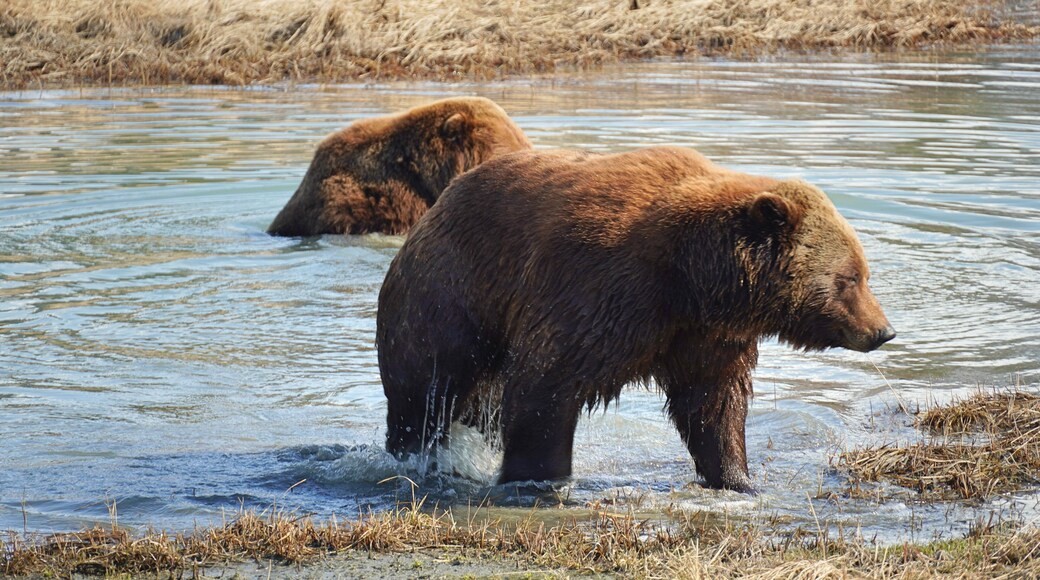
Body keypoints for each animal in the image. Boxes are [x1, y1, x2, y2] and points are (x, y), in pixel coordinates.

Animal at [376, 146, 895, 492]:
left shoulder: (703, 335)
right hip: (449, 296)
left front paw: (738, 478)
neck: (692, 278)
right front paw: (537, 479)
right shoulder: (597, 288)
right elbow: (547, 384)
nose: (883, 331)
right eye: (849, 277)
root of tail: (431, 213)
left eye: (864, 272)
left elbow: (713, 405)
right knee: (425, 387)